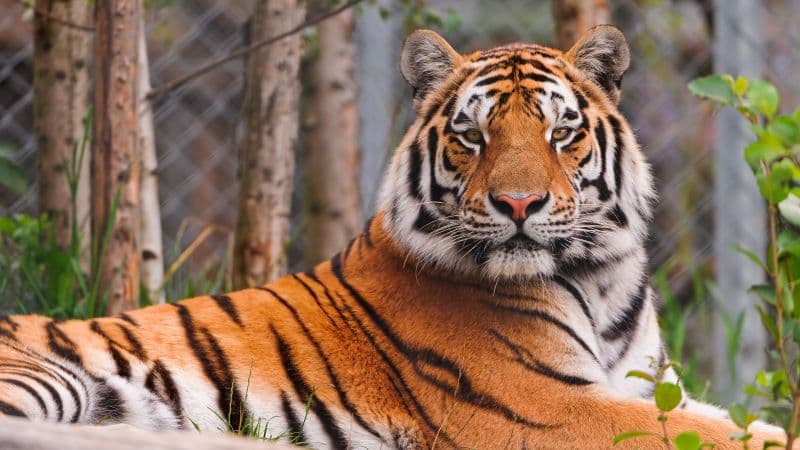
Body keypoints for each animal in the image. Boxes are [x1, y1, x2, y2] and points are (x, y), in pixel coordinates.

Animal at [0, 26, 787, 449]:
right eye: (473, 136)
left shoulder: (649, 386)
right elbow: (727, 435)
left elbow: (737, 420)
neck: (599, 278)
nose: (519, 203)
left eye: (560, 133)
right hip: (46, 378)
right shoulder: (545, 407)